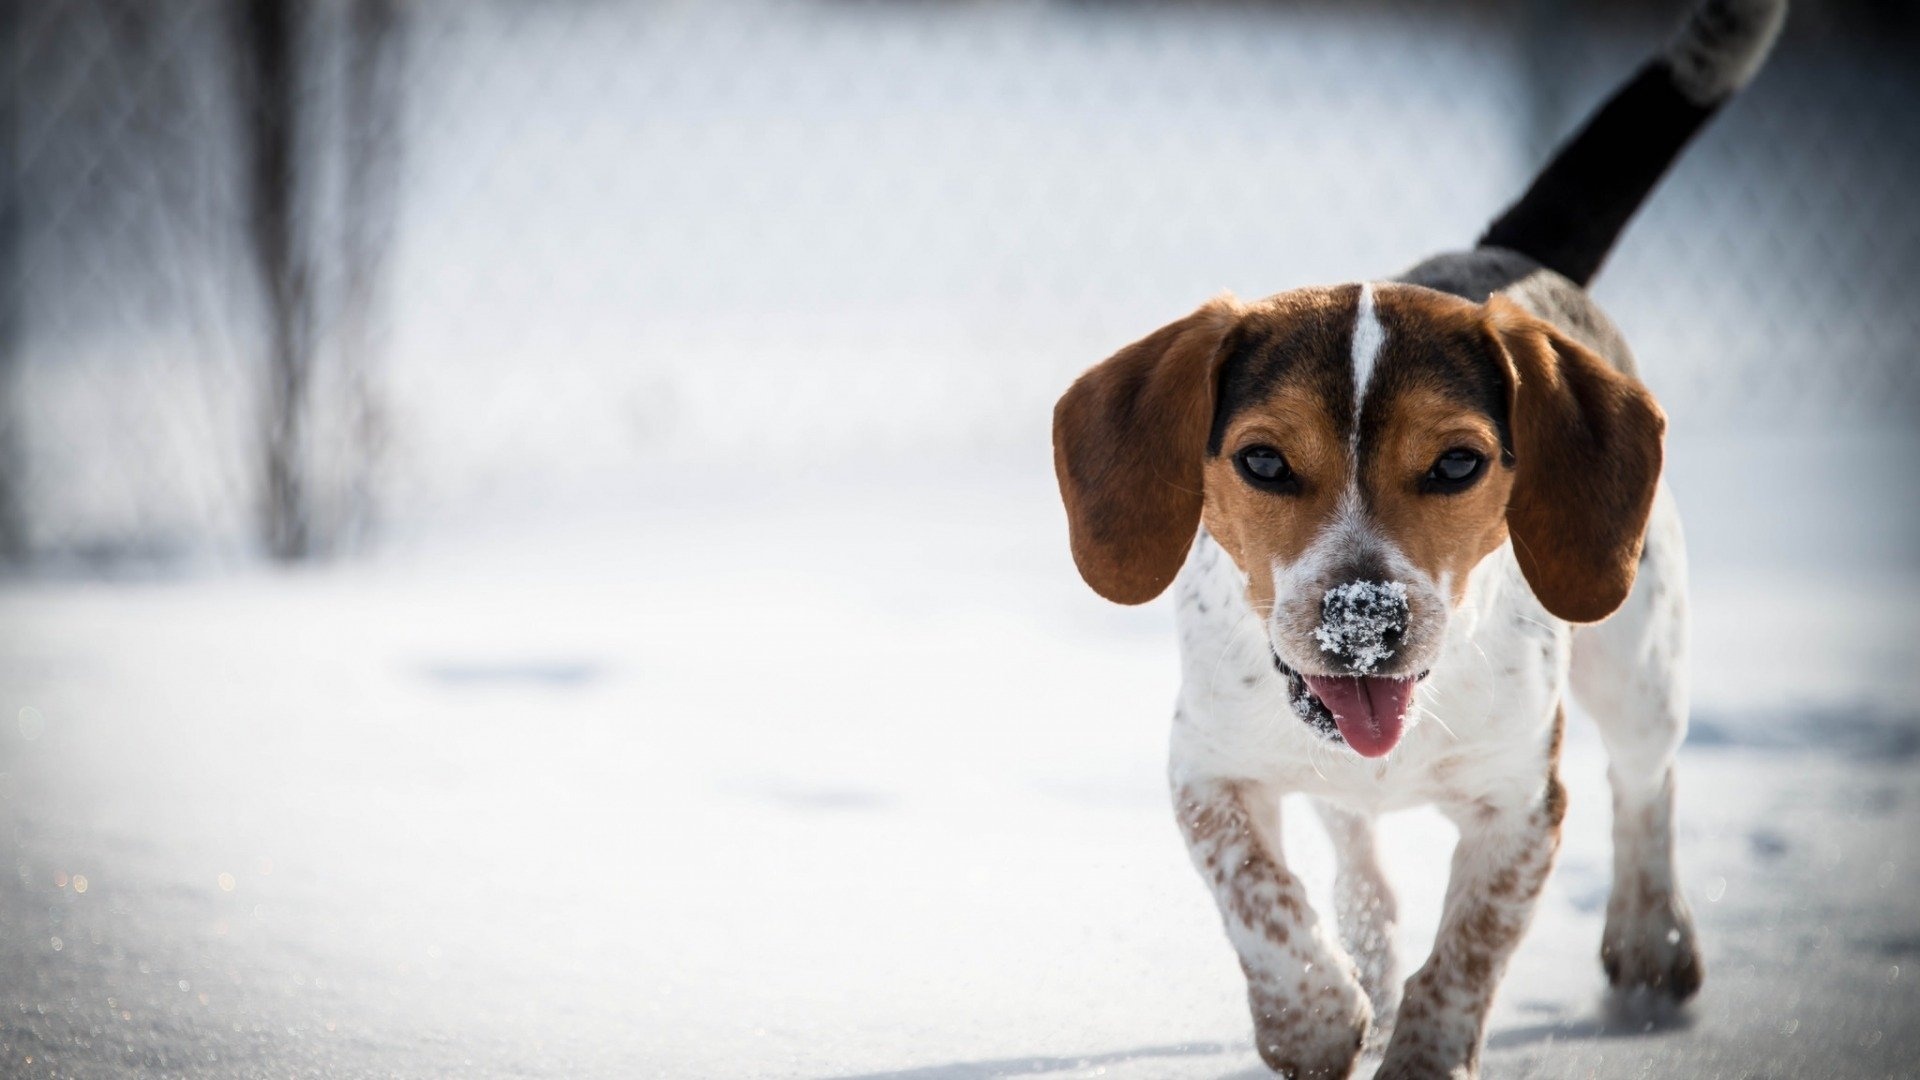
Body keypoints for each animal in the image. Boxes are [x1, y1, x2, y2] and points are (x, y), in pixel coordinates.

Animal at [1052, 4, 1781, 1068]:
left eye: (1456, 464)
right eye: (1263, 460)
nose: (1365, 621)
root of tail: (1507, 258)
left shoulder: (1522, 806)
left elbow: (1466, 958)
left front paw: (1421, 1045)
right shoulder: (1208, 772)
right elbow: (1262, 902)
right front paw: (1315, 1016)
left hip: (1642, 655)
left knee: (1647, 784)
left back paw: (1652, 938)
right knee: (1353, 841)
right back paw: (1367, 946)